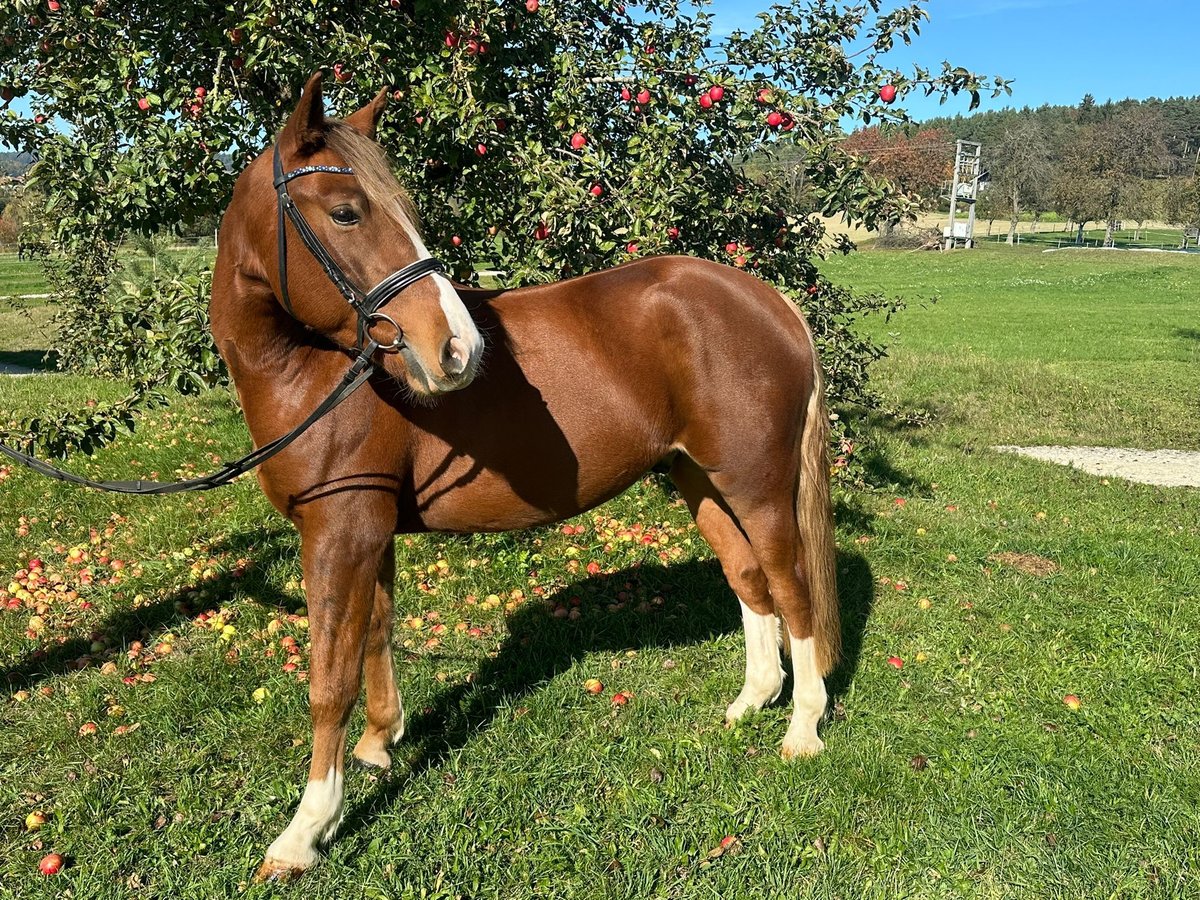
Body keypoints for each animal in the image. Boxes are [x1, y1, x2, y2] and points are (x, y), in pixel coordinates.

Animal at [211, 75, 840, 883]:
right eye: (346, 211)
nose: (455, 348)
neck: (317, 372)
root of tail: (767, 299)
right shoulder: (367, 534)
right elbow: (375, 636)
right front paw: (381, 744)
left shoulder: (338, 534)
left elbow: (330, 679)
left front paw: (304, 832)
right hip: (700, 482)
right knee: (749, 578)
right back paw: (751, 703)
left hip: (757, 489)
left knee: (793, 590)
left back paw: (802, 731)